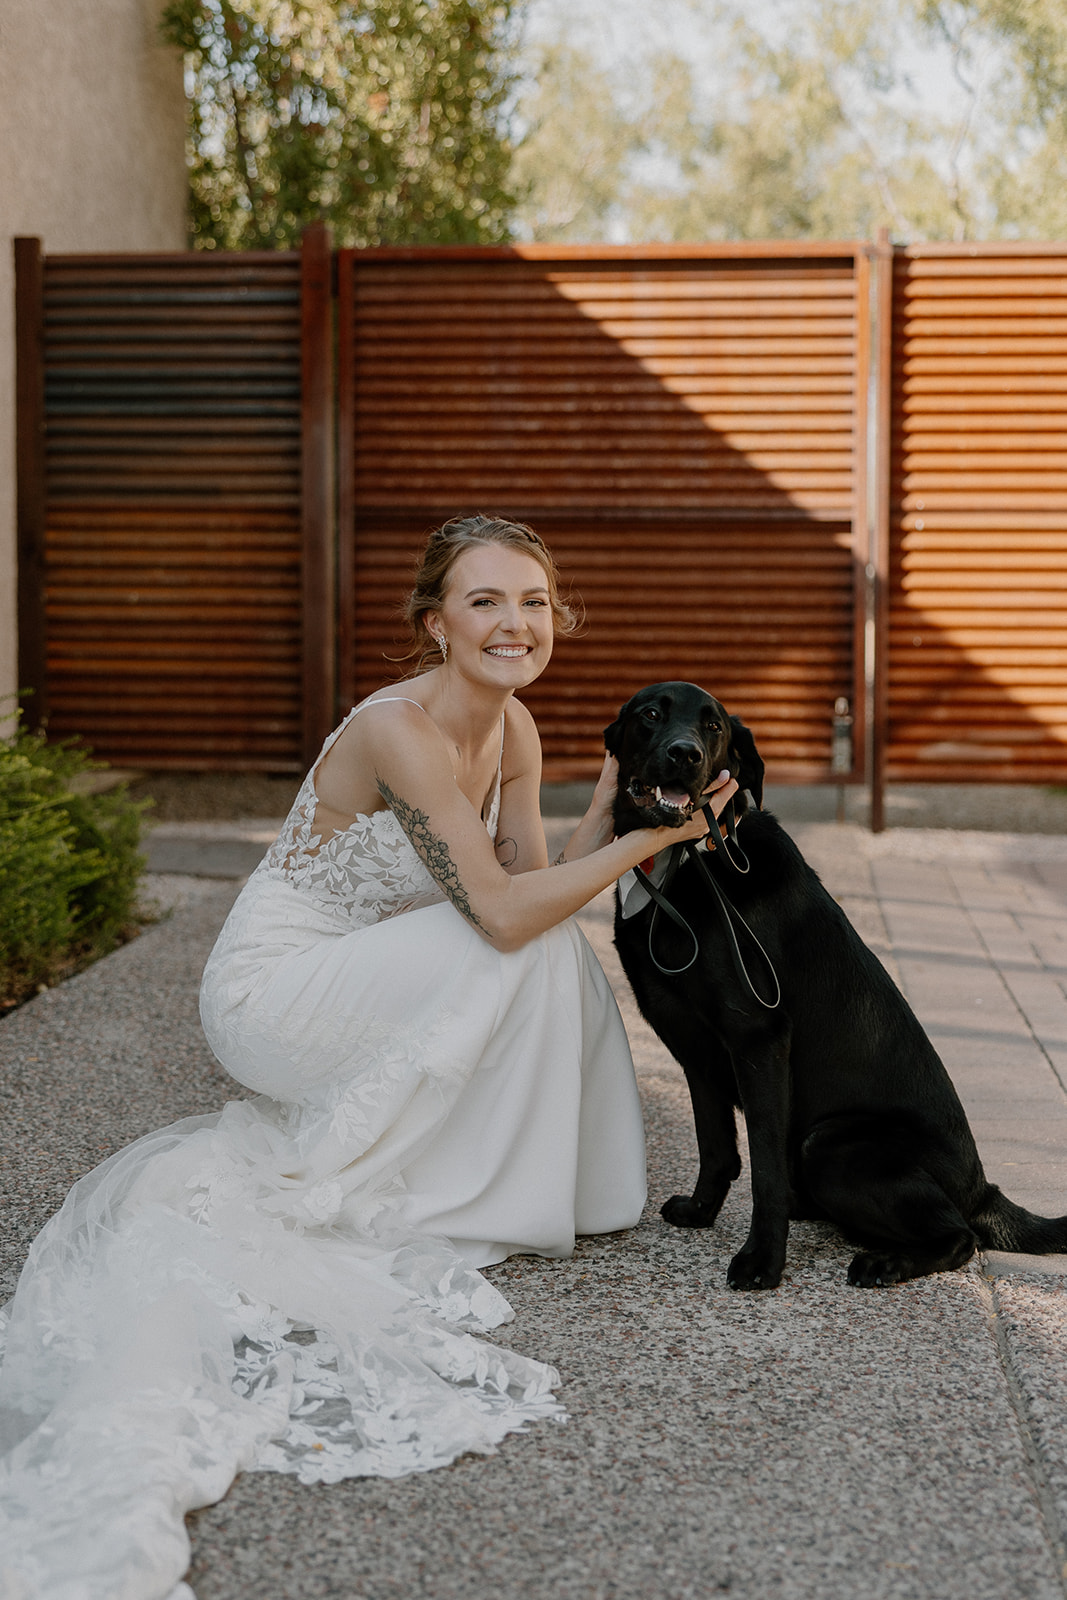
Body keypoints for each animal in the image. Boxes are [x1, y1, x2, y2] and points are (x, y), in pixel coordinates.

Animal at [607, 681, 1067, 1292]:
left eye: (713, 727)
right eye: (651, 714)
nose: (685, 754)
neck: (684, 861)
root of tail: (983, 1190)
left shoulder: (758, 1037)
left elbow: (763, 1169)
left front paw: (762, 1262)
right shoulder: (694, 1044)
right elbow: (716, 1144)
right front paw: (701, 1212)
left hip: (827, 1145)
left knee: (960, 1236)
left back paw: (884, 1262)